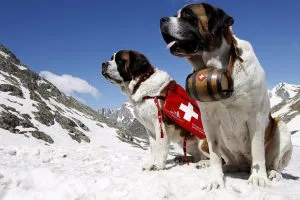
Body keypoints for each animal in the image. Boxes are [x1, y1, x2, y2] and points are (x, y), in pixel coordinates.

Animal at [161, 1, 292, 189]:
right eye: (175, 14)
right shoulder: (208, 120)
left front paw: (258, 177)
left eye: (187, 15)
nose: (162, 20)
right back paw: (221, 166)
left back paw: (272, 173)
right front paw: (215, 180)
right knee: (227, 160)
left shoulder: (256, 116)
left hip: (282, 129)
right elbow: (215, 153)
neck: (220, 67)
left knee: (274, 163)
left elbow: (257, 149)